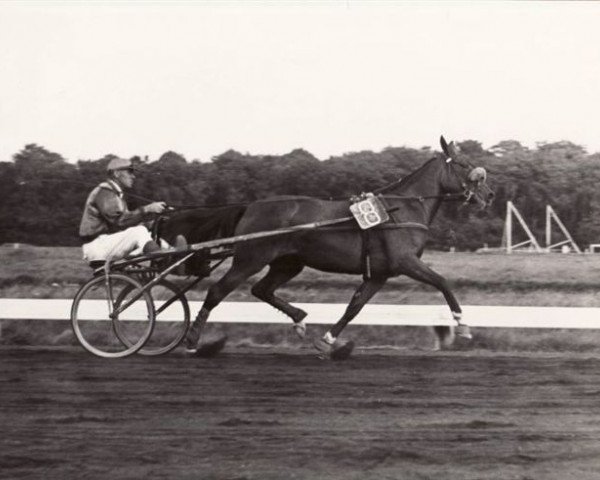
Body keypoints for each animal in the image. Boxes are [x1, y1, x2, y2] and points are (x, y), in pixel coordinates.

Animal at [158, 137, 492, 358]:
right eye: (463, 165)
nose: (488, 194)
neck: (401, 209)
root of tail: (250, 206)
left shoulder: (378, 274)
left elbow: (355, 307)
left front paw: (327, 340)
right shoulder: (405, 262)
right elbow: (443, 282)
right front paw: (463, 325)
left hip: (288, 262)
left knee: (261, 289)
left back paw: (299, 318)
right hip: (251, 258)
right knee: (218, 291)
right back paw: (193, 339)